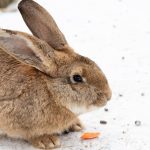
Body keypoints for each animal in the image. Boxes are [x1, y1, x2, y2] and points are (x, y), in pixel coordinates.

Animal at [0, 0, 111, 149]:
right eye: (77, 78)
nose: (108, 96)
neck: (50, 91)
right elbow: (29, 134)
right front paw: (48, 141)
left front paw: (75, 125)